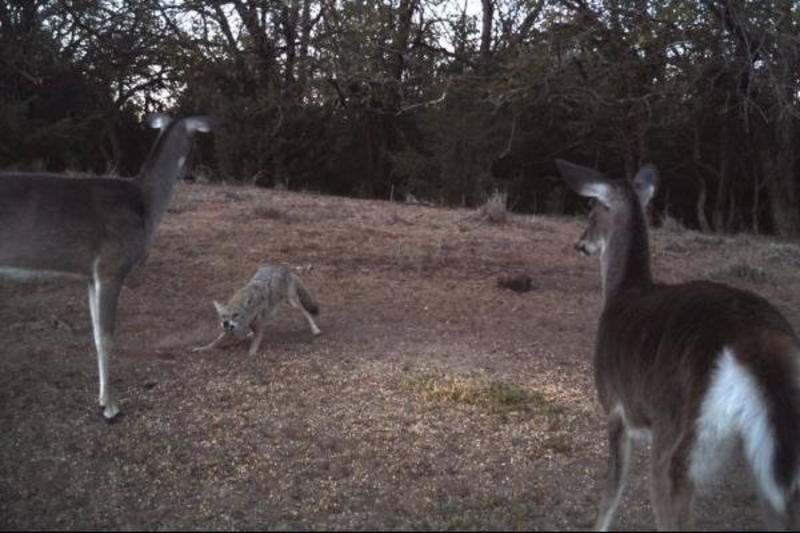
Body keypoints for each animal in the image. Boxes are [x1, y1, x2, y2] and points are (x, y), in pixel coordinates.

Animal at [0, 112, 216, 420]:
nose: (198, 170)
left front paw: (103, 398)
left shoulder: (91, 275)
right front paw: (111, 407)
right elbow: (106, 337)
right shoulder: (111, 266)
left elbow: (94, 334)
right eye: (197, 139)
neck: (144, 205)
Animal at [556, 158, 800, 528]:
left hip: (677, 438)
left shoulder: (615, 406)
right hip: (773, 469)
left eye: (591, 210)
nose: (580, 244)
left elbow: (612, 492)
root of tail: (755, 343)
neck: (622, 291)